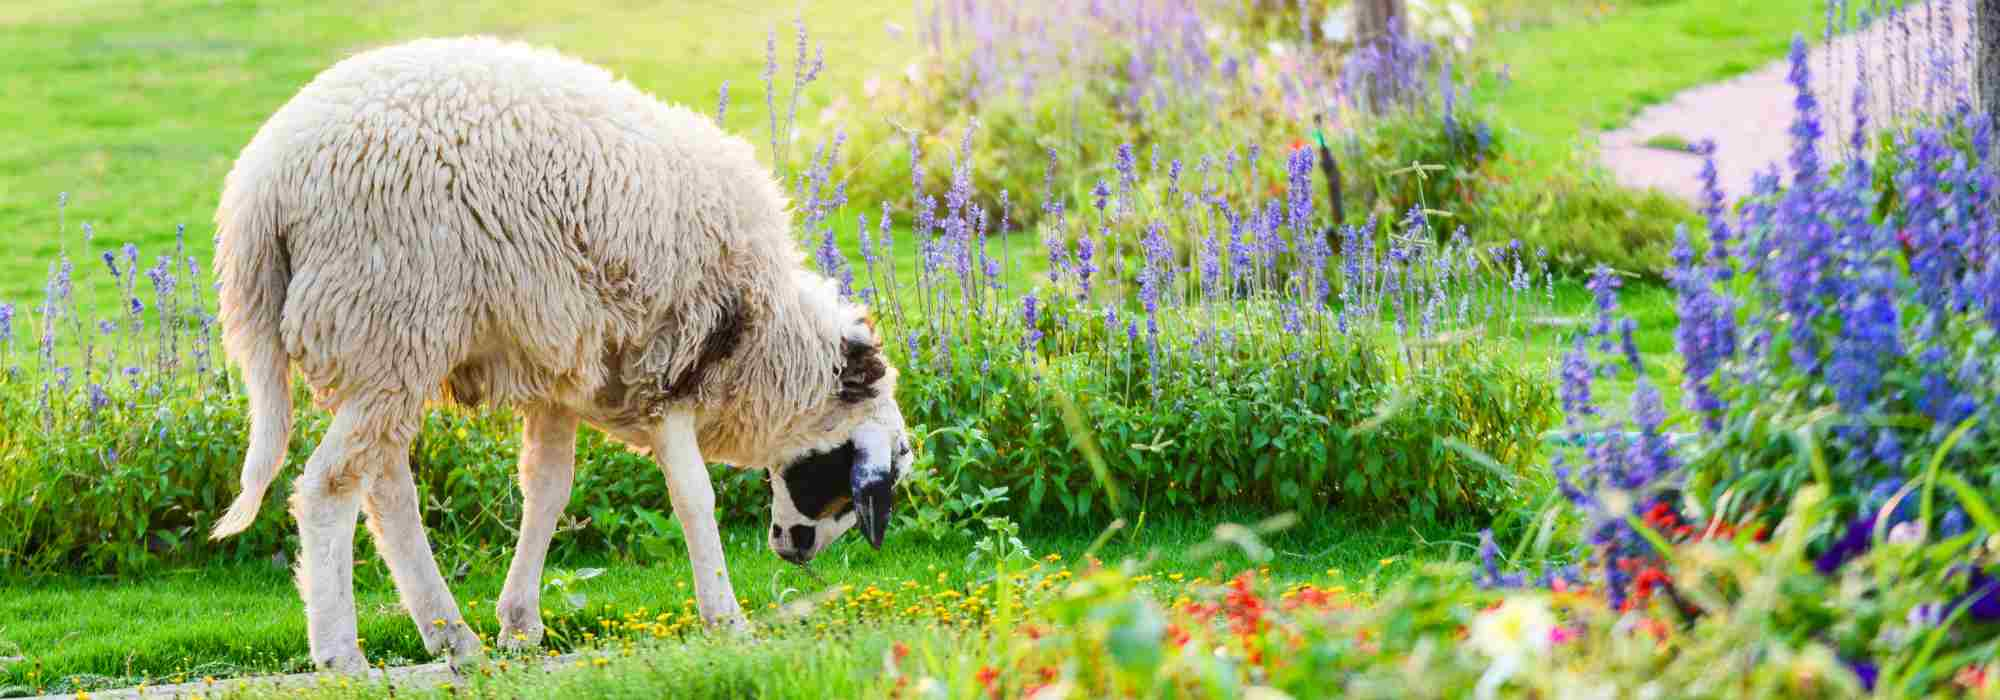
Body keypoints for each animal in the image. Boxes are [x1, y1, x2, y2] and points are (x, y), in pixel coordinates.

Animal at [205, 37, 916, 672]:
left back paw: (451, 635)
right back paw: (341, 652)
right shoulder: (665, 369)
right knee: (328, 488)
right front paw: (726, 618)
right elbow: (693, 497)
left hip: (385, 349)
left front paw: (520, 624)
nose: (796, 555)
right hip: (388, 325)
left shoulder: (565, 372)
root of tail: (261, 191)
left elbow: (546, 490)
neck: (767, 344)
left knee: (384, 488)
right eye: (856, 480)